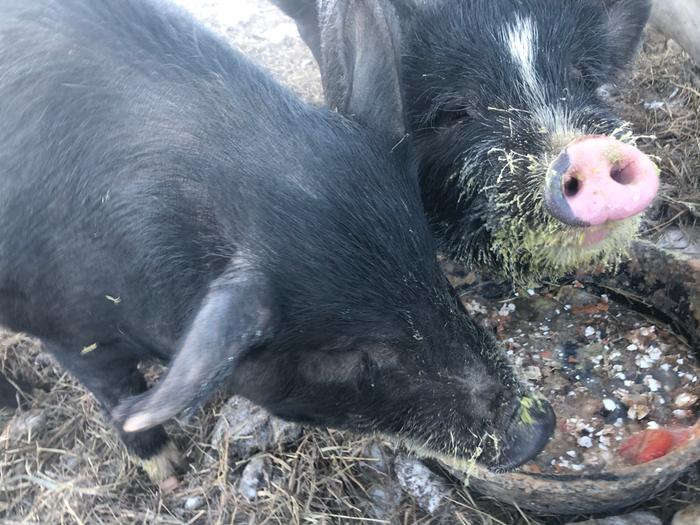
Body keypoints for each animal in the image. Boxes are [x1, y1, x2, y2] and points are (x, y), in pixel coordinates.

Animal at [0, 0, 552, 488]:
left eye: (434, 274)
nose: (539, 429)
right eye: (346, 355)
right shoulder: (66, 330)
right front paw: (169, 472)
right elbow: (117, 394)